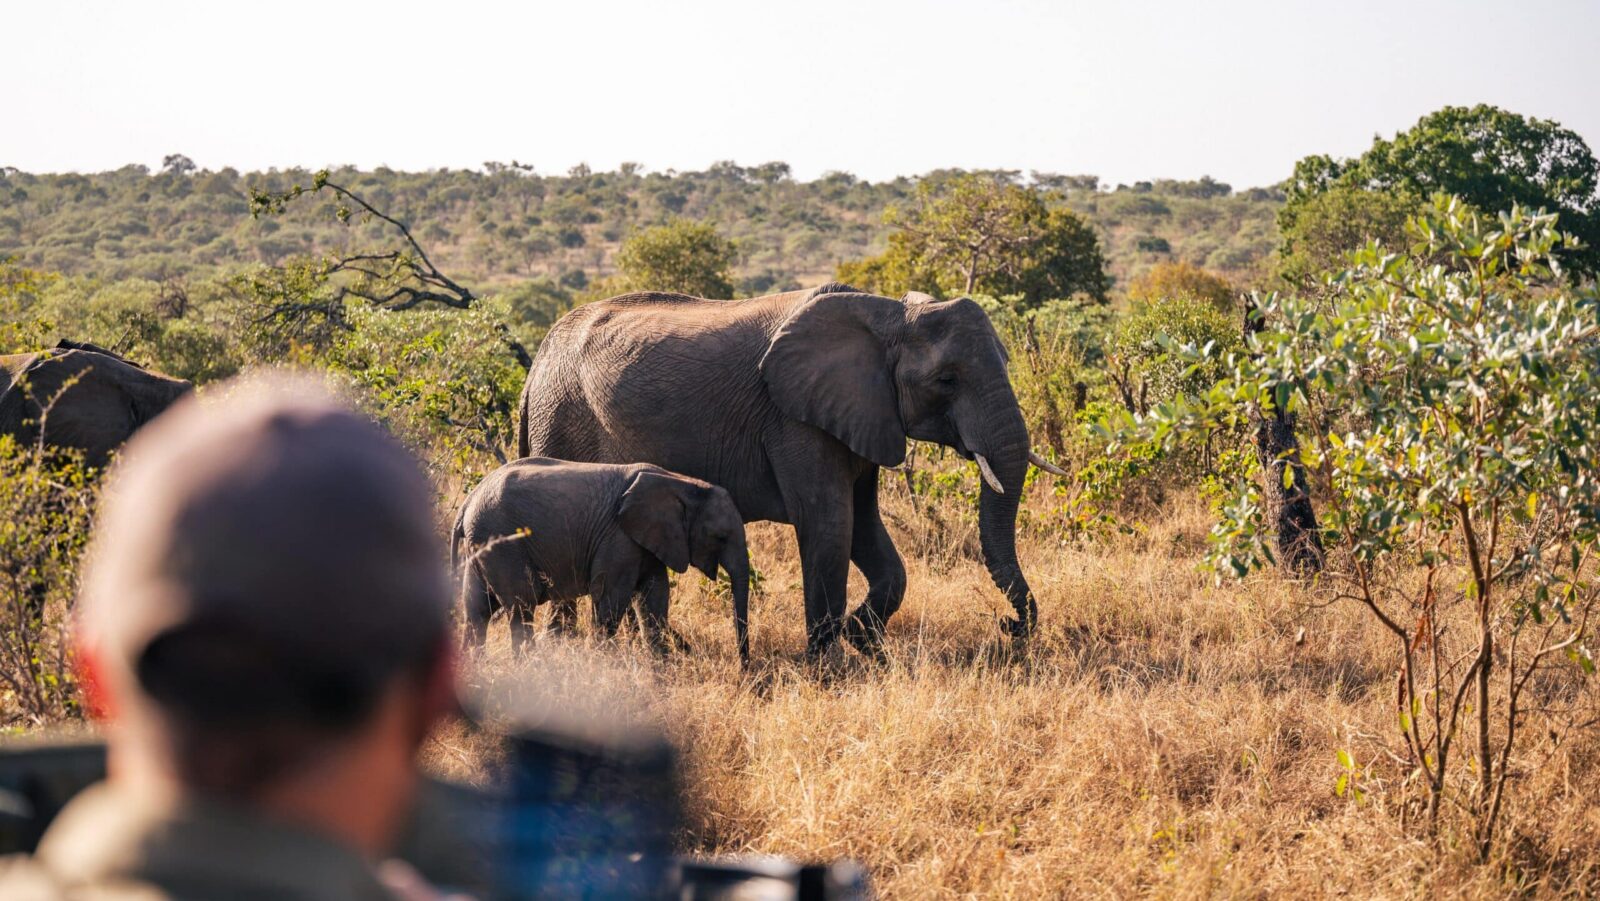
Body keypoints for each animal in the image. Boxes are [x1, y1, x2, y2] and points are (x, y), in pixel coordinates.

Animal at [450, 457, 752, 663]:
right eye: (721, 537)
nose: (745, 669)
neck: (683, 484)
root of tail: (467, 503)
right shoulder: (618, 538)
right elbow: (611, 600)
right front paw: (603, 665)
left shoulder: (651, 540)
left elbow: (655, 599)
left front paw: (661, 669)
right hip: (501, 542)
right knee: (521, 606)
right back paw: (532, 669)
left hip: (483, 544)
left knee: (477, 609)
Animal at [517, 283, 1067, 660]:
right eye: (946, 380)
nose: (1009, 626)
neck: (889, 314)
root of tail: (534, 368)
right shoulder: (795, 420)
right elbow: (829, 524)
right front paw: (830, 668)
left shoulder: (861, 413)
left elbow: (867, 532)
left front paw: (864, 643)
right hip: (561, 420)